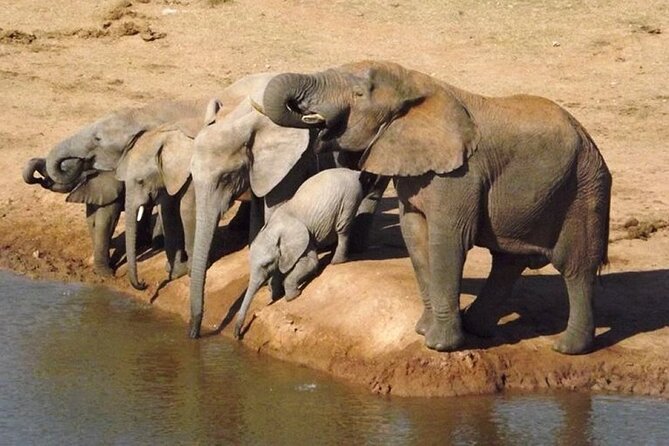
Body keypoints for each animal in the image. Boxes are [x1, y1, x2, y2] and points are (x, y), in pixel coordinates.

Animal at [114, 118, 203, 290]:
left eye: (141, 181)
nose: (143, 283)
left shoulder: (189, 173)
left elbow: (187, 212)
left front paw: (185, 271)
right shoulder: (165, 176)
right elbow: (168, 213)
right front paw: (174, 271)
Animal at [234, 168, 366, 339]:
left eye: (266, 264)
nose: (238, 335)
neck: (274, 228)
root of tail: (353, 172)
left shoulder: (303, 239)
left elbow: (311, 263)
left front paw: (292, 297)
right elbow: (281, 269)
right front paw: (276, 294)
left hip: (349, 198)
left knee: (343, 228)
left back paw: (336, 261)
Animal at [257, 61, 612, 355]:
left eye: (359, 94)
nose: (311, 117)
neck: (418, 86)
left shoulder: (460, 175)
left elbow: (447, 240)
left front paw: (440, 346)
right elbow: (415, 236)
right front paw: (423, 331)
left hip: (584, 189)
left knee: (575, 266)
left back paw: (567, 348)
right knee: (509, 260)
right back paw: (476, 327)